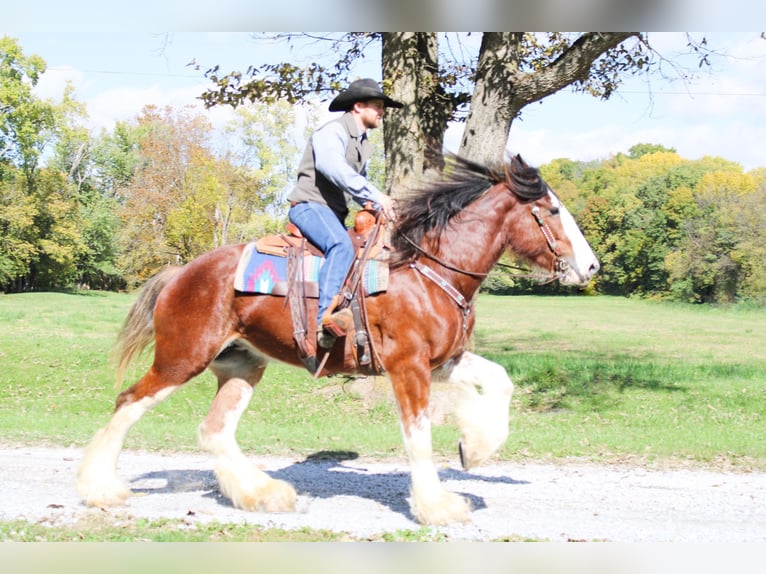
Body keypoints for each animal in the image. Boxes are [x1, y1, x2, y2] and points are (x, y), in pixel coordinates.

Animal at [76, 153, 600, 528]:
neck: (426, 270)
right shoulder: (409, 367)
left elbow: (500, 379)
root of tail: (182, 272)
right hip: (181, 359)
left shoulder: (443, 361)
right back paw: (101, 489)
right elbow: (418, 438)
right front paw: (437, 506)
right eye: (552, 210)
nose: (592, 266)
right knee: (128, 402)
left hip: (242, 364)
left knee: (214, 429)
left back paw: (262, 494)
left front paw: (476, 448)